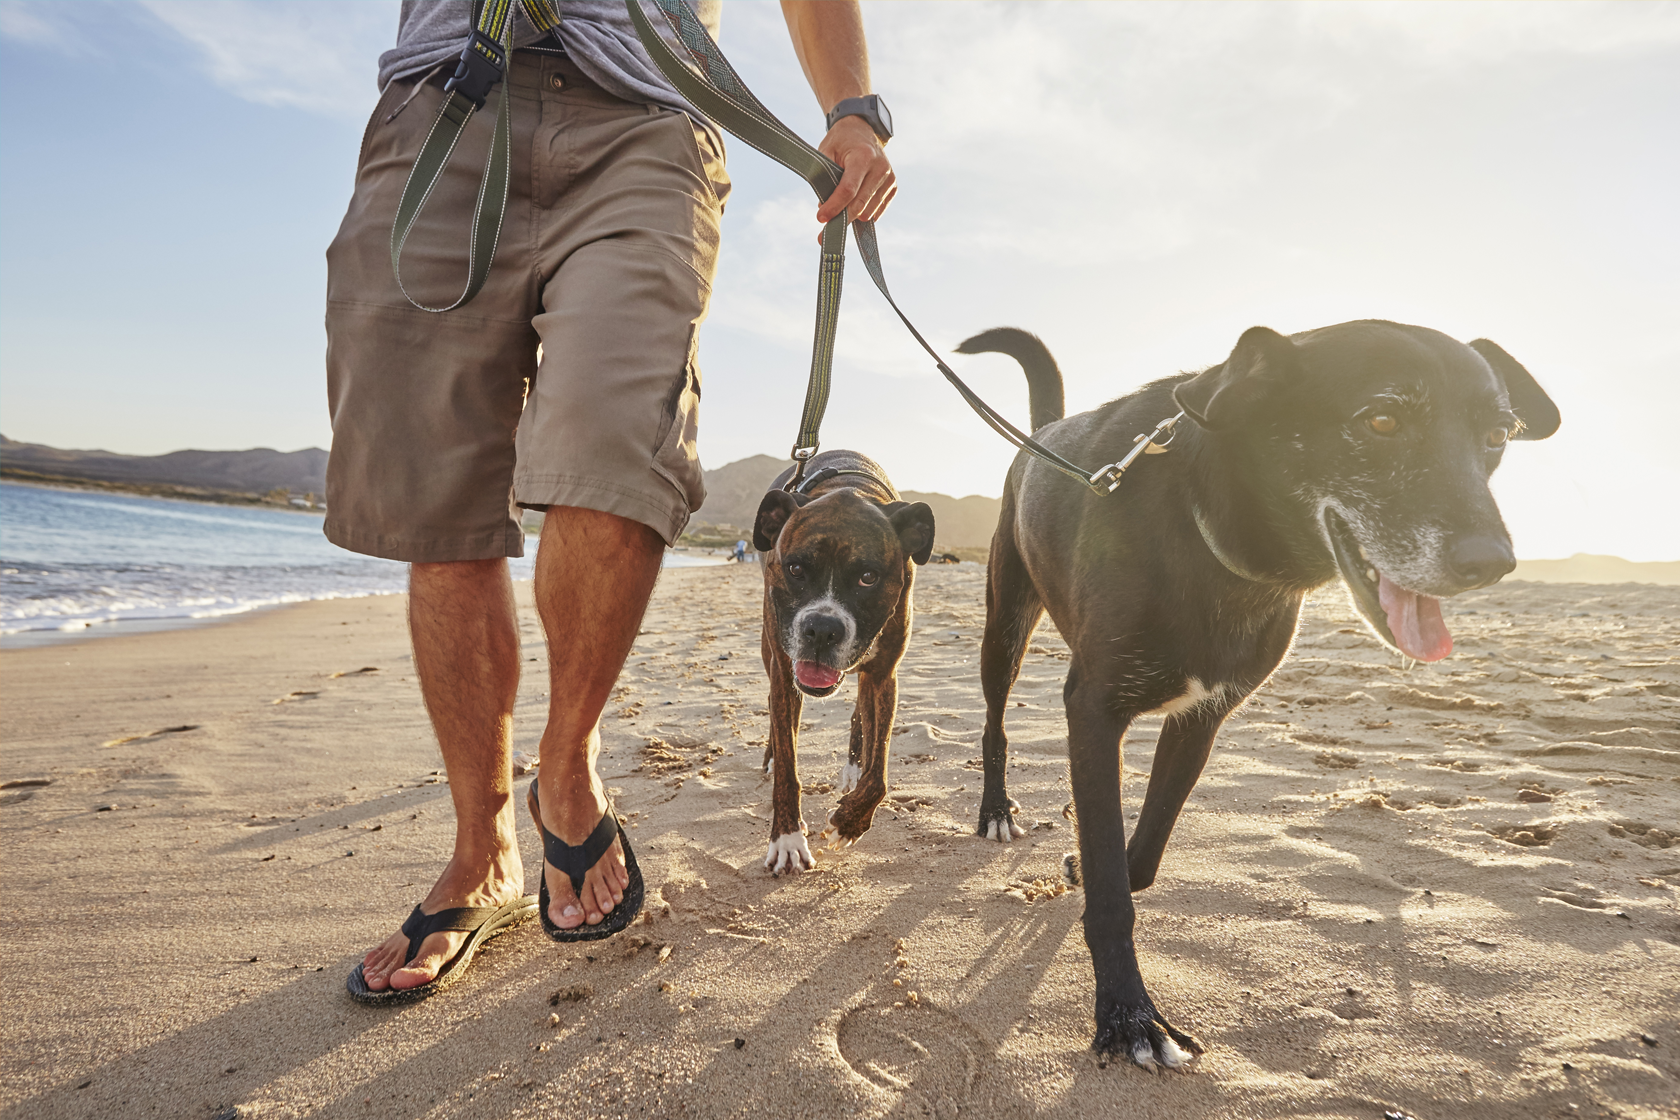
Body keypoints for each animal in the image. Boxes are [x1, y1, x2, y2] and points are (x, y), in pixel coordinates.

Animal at [756, 450, 940, 873]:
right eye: (795, 568)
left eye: (868, 577)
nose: (822, 629)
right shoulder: (784, 673)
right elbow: (788, 767)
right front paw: (787, 838)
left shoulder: (884, 676)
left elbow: (880, 769)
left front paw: (850, 820)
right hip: (770, 654)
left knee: (861, 717)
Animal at [960, 322, 1559, 1067]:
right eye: (1381, 420)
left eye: (1497, 435)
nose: (1491, 563)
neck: (1210, 538)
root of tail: (1040, 437)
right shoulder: (1094, 709)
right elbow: (1111, 890)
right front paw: (1129, 1016)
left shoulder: (1202, 719)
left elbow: (1139, 852)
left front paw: (1099, 867)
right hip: (1006, 624)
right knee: (994, 723)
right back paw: (994, 809)